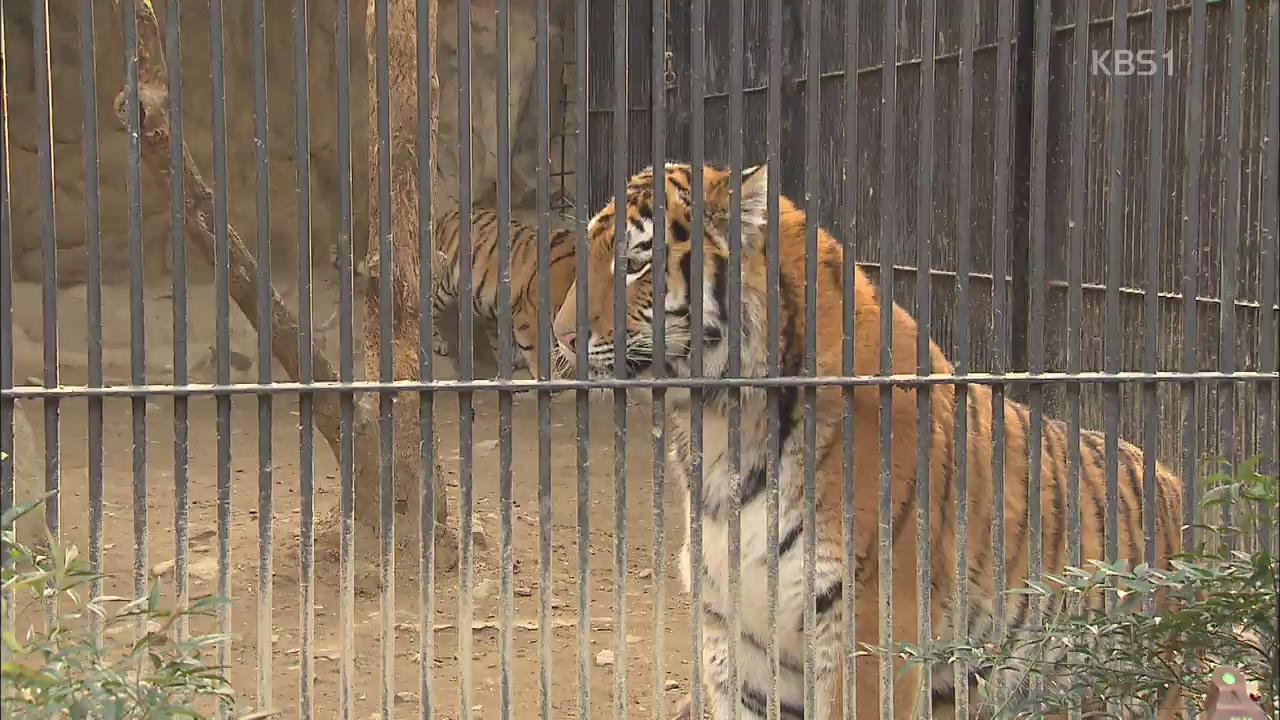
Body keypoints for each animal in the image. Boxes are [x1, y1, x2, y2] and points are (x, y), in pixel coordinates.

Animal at [545, 162, 1182, 717]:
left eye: (635, 262)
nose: (560, 335)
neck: (722, 428)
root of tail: (1169, 475)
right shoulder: (742, 639)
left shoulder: (869, 627)